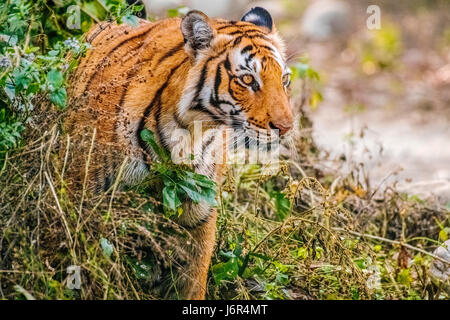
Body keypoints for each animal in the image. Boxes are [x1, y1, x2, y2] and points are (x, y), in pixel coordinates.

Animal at [65, 6, 294, 298]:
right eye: (247, 80)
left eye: (284, 79)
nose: (287, 127)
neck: (189, 134)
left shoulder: (199, 214)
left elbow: (192, 280)